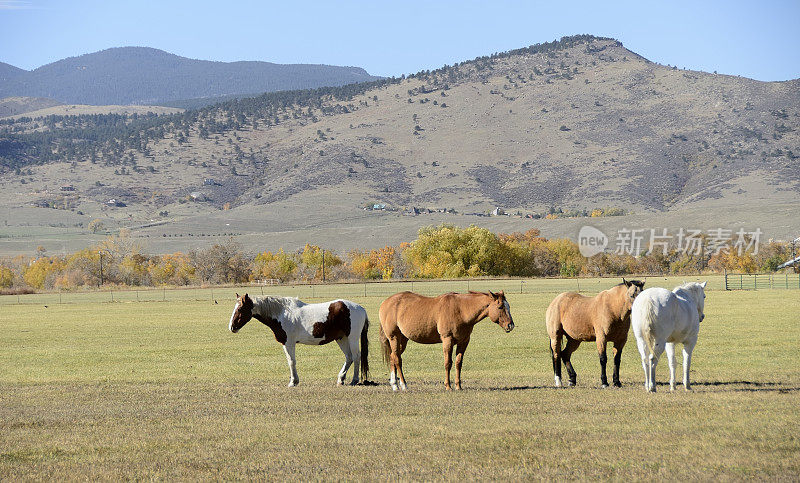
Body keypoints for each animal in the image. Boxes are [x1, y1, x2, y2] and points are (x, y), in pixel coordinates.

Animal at [230, 294, 370, 388]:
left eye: (240, 309)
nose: (232, 327)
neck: (282, 314)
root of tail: (361, 309)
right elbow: (290, 361)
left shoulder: (289, 343)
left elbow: (292, 361)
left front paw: (293, 382)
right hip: (341, 338)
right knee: (349, 357)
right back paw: (341, 379)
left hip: (352, 338)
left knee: (356, 357)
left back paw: (354, 380)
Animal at [380, 290, 516, 392]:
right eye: (500, 307)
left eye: (508, 306)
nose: (510, 325)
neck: (461, 310)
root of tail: (386, 302)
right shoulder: (447, 340)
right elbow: (448, 363)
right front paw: (448, 386)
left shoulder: (464, 342)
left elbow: (458, 363)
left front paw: (458, 386)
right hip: (394, 338)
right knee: (397, 360)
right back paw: (403, 385)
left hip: (403, 339)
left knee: (393, 357)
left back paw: (395, 385)